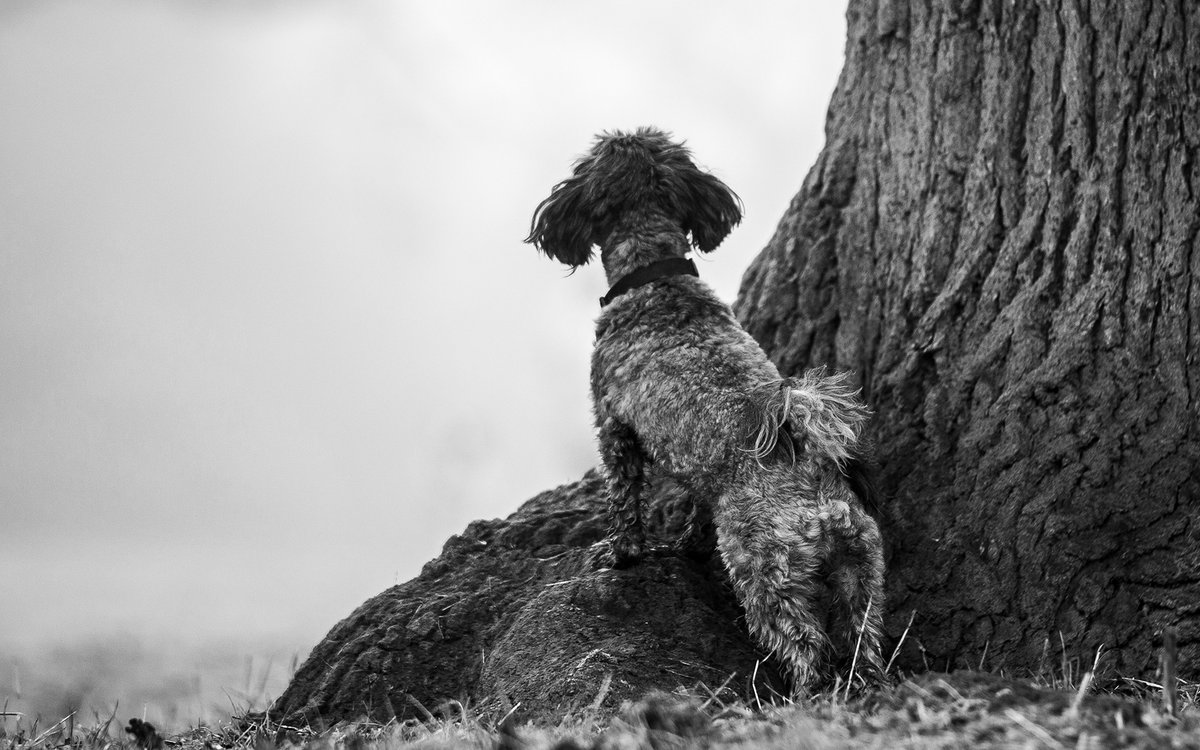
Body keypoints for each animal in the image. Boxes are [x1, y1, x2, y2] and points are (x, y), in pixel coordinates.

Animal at [525, 128, 885, 695]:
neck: (656, 281)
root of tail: (818, 498)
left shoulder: (613, 426)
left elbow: (624, 500)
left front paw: (619, 553)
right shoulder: (697, 466)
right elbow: (696, 504)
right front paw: (688, 545)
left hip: (766, 574)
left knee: (807, 648)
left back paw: (802, 697)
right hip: (862, 574)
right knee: (860, 646)